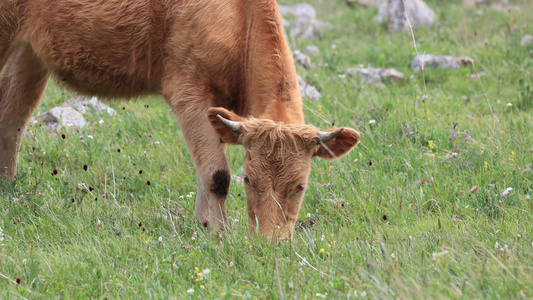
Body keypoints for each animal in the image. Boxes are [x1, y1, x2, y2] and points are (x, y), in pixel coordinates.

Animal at [0, 0, 360, 239]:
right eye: (248, 180)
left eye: (300, 185)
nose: (269, 243)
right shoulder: (187, 87)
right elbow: (216, 174)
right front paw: (219, 236)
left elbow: (206, 169)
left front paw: (204, 229)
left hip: (29, 52)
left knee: (11, 114)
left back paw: (8, 187)